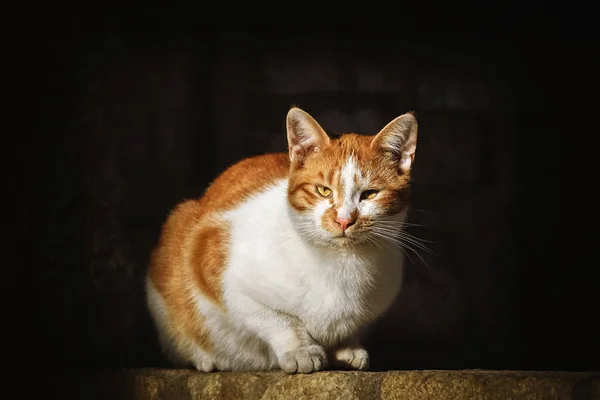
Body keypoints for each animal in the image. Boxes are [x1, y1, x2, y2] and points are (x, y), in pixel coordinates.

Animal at [145, 107, 418, 376]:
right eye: (323, 191)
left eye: (370, 194)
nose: (344, 220)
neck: (341, 263)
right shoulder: (219, 269)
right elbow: (279, 320)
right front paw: (301, 350)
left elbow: (352, 328)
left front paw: (346, 348)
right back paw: (205, 358)